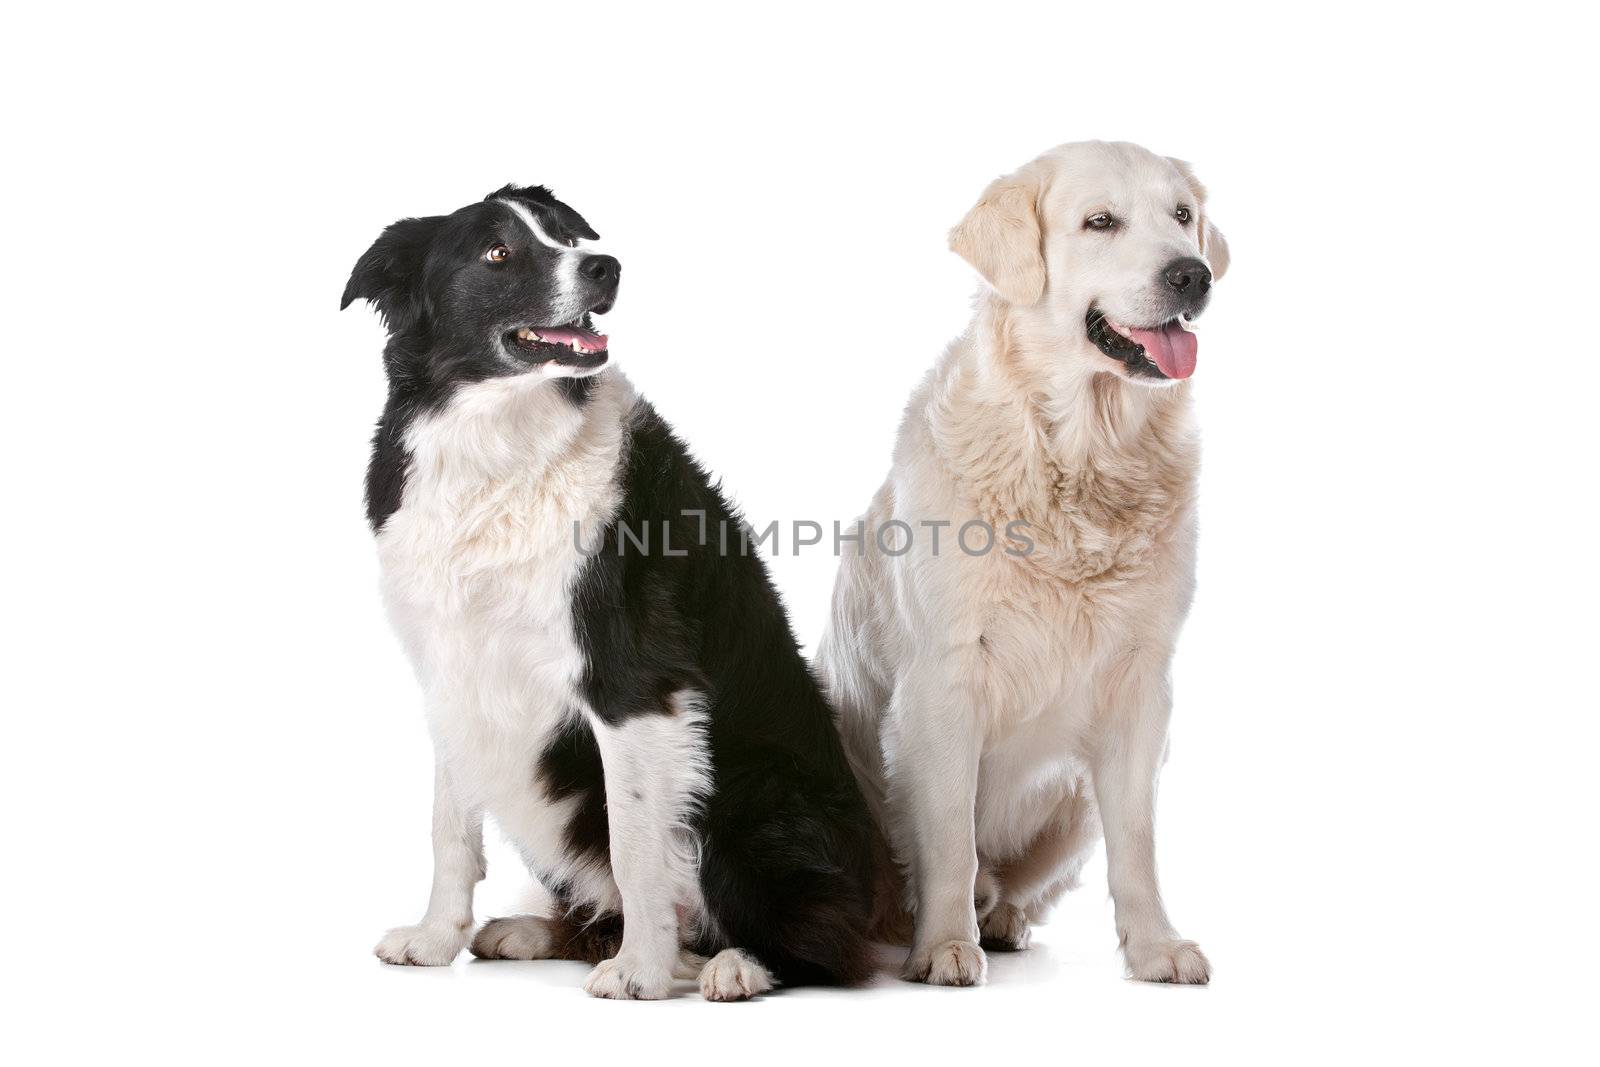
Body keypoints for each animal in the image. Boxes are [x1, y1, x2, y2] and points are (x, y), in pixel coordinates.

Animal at [339, 187, 883, 998]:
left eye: (568, 235)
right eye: (497, 251)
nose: (605, 266)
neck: (499, 445)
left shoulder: (633, 681)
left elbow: (636, 845)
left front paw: (641, 972)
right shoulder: (453, 670)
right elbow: (448, 829)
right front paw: (436, 940)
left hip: (751, 787)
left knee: (823, 939)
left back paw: (733, 963)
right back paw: (541, 932)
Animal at [819, 139, 1228, 985]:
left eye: (1182, 215)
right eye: (1100, 222)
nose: (1193, 274)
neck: (1081, 453)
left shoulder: (1143, 687)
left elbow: (1137, 841)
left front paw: (1155, 945)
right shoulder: (942, 681)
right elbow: (948, 834)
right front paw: (945, 942)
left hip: (1071, 801)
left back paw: (1001, 915)